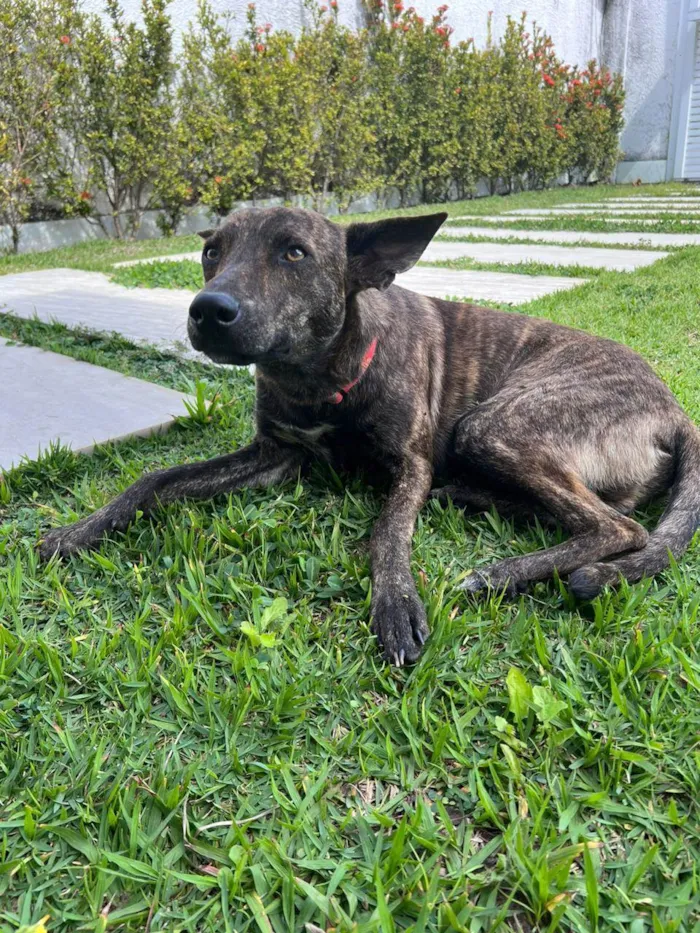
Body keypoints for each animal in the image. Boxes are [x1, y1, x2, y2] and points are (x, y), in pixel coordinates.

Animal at [37, 209, 700, 664]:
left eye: (295, 253)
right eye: (211, 252)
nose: (208, 309)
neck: (317, 376)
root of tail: (674, 409)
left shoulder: (410, 466)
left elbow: (387, 531)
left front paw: (396, 604)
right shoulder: (273, 457)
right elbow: (154, 478)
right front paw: (78, 531)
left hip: (492, 425)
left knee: (621, 528)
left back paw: (500, 572)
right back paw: (470, 498)